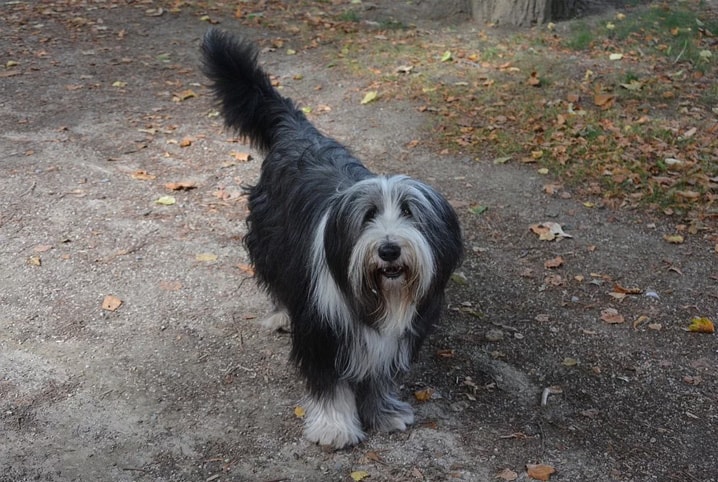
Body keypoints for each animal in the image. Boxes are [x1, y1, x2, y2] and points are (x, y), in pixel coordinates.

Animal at [200, 29, 464, 448]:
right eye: (368, 215)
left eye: (410, 212)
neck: (377, 297)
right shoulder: (322, 326)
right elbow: (329, 381)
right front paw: (335, 427)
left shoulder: (391, 336)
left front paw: (384, 412)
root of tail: (298, 131)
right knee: (276, 277)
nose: (389, 250)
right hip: (271, 239)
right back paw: (281, 313)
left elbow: (377, 375)